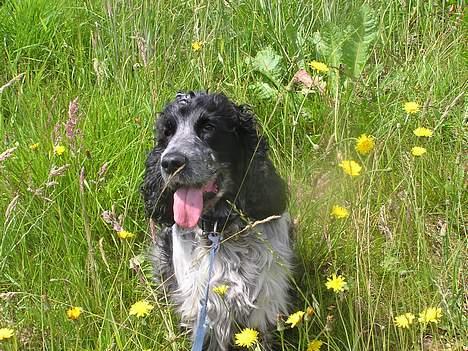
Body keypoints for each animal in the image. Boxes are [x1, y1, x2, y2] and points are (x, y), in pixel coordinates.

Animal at [141, 93, 292, 351]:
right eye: (167, 132)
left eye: (208, 127)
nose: (170, 162)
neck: (220, 230)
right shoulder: (208, 311)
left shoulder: (264, 306)